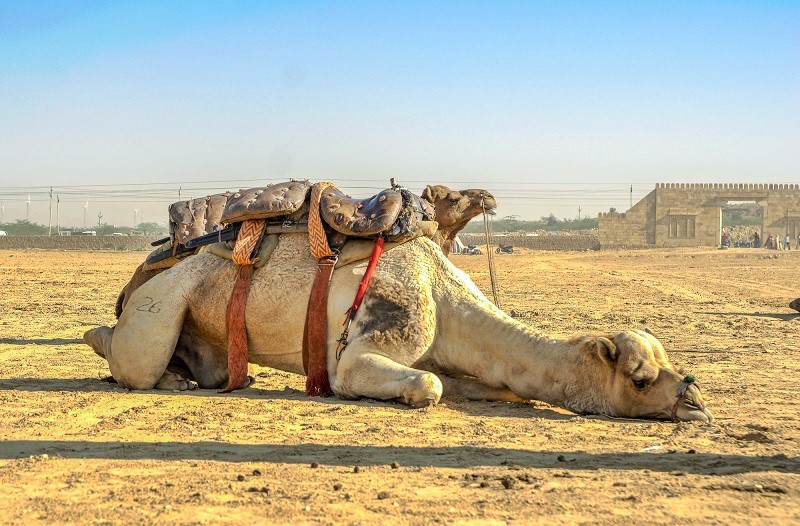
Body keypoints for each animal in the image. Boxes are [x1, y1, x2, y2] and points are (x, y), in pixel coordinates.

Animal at [86, 235, 712, 424]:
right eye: (638, 377)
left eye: (670, 365)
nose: (695, 400)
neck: (445, 295)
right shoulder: (366, 348)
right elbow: (419, 385)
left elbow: (486, 387)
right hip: (163, 301)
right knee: (132, 360)